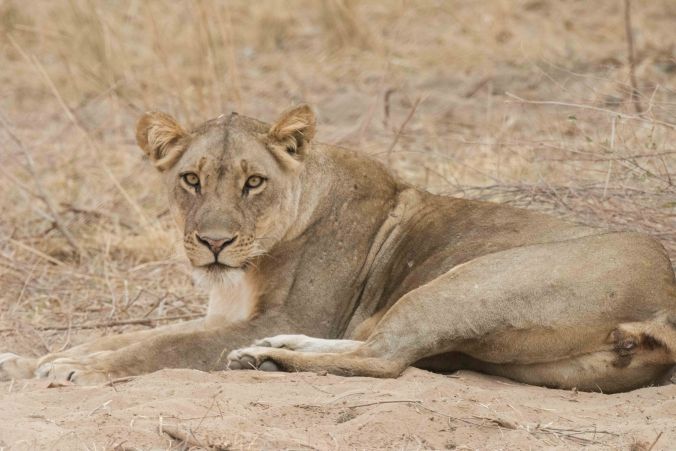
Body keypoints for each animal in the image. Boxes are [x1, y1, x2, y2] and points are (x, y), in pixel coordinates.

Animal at [1, 104, 675, 393]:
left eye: (253, 182)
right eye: (190, 179)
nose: (213, 243)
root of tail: (666, 296)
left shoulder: (292, 311)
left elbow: (161, 346)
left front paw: (77, 369)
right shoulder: (232, 313)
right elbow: (138, 334)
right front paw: (34, 359)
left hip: (468, 283)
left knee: (386, 358)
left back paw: (267, 360)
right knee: (375, 343)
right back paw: (270, 354)